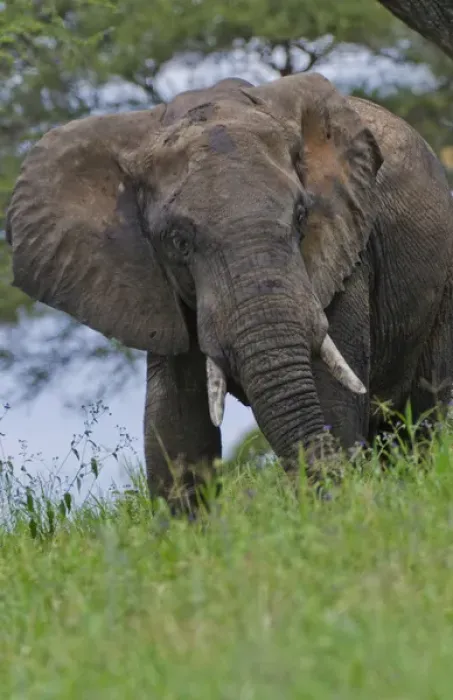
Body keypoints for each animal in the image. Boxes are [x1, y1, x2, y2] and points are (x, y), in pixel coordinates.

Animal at [6, 71, 453, 507]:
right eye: (179, 242)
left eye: (301, 216)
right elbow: (175, 424)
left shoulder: (347, 254)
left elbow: (332, 399)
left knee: (427, 413)